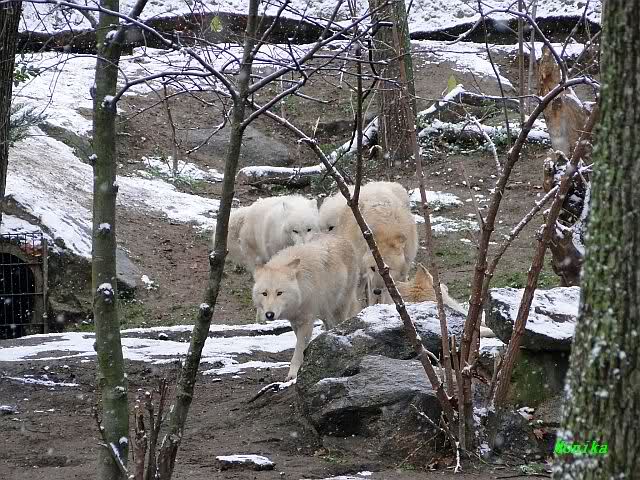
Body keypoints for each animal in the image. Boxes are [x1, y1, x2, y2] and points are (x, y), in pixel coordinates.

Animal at [252, 234, 361, 380]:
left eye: (279, 293)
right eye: (264, 293)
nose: (269, 315)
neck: (301, 286)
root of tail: (341, 238)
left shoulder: (307, 320)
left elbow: (298, 348)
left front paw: (292, 375)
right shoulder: (295, 321)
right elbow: (301, 343)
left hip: (340, 307)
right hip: (325, 312)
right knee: (329, 326)